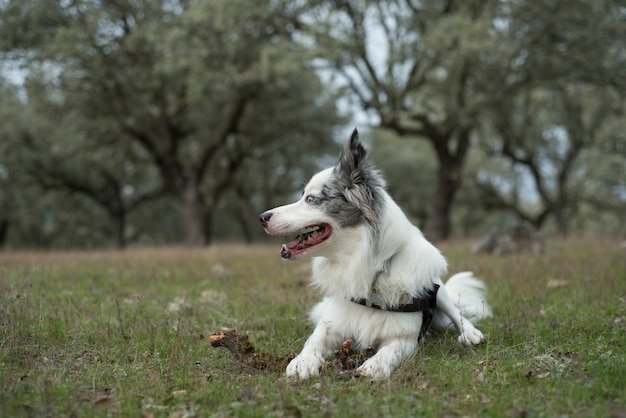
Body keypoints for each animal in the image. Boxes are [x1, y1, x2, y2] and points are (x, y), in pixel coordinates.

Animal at [258, 130, 488, 378]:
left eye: (310, 199)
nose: (262, 217)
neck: (367, 271)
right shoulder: (331, 324)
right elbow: (313, 341)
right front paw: (302, 362)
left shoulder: (405, 337)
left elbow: (390, 350)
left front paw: (374, 366)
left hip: (438, 290)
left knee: (456, 312)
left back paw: (471, 334)